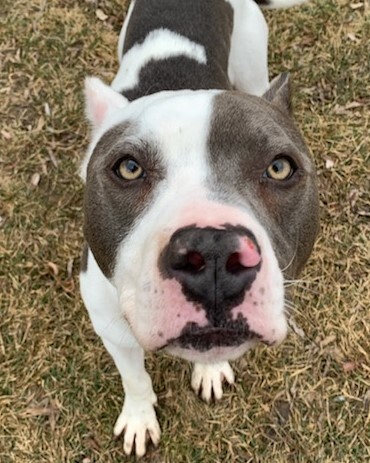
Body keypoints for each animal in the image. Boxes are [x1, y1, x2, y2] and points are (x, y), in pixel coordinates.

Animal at [79, 0, 320, 456]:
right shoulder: (110, 326)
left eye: (279, 167)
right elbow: (134, 377)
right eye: (128, 168)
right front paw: (139, 416)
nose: (212, 252)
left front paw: (210, 371)